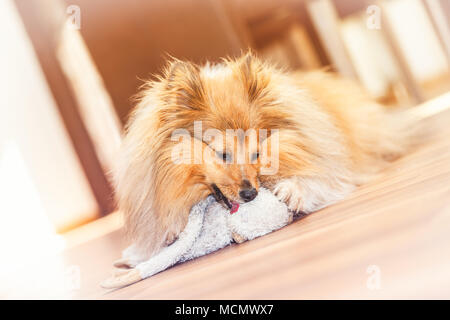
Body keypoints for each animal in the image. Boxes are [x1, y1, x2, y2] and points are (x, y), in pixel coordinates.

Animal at [113, 53, 414, 262]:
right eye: (223, 154)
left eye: (257, 153)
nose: (250, 194)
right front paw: (171, 228)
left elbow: (315, 181)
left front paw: (293, 191)